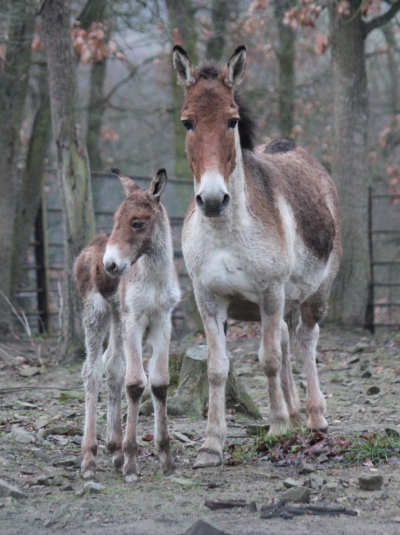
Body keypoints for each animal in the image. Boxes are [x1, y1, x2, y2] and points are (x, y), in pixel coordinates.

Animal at [74, 170, 180, 484]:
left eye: (137, 222)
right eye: (115, 220)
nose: (111, 265)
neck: (154, 279)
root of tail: (87, 250)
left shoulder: (162, 321)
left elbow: (159, 382)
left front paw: (166, 458)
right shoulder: (134, 319)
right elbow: (135, 383)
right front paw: (132, 463)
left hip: (116, 318)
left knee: (113, 365)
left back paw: (114, 449)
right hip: (96, 313)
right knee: (92, 370)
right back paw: (89, 458)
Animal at [173, 46, 342, 468]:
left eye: (232, 120)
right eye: (187, 122)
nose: (212, 200)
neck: (226, 234)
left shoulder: (269, 292)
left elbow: (267, 359)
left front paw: (277, 427)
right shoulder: (208, 299)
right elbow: (218, 368)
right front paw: (211, 445)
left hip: (314, 295)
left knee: (305, 339)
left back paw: (314, 417)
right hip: (282, 303)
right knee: (284, 338)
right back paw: (296, 413)